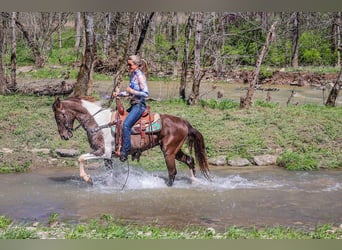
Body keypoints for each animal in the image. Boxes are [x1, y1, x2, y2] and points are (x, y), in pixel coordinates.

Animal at [51, 95, 210, 186]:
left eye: (59, 117)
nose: (65, 136)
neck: (99, 122)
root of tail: (185, 123)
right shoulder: (108, 157)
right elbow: (109, 175)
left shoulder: (103, 152)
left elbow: (81, 158)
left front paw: (87, 179)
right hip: (175, 150)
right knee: (190, 160)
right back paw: (195, 181)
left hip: (168, 152)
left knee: (172, 172)